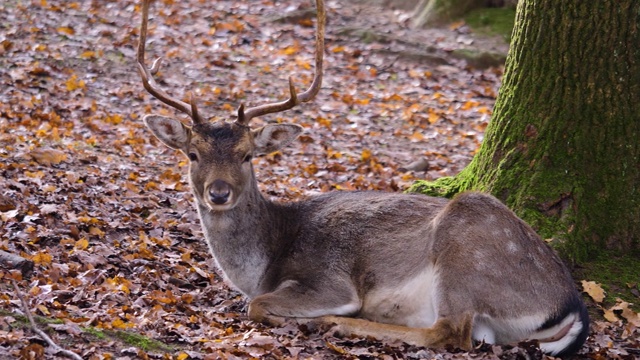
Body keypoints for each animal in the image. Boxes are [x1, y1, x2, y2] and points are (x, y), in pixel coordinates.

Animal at [138, 0, 588, 356]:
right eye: (192, 154)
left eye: (247, 155)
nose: (218, 193)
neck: (263, 262)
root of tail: (572, 306)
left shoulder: (328, 279)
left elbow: (259, 304)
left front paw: (316, 316)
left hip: (467, 248)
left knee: (451, 333)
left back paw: (341, 324)